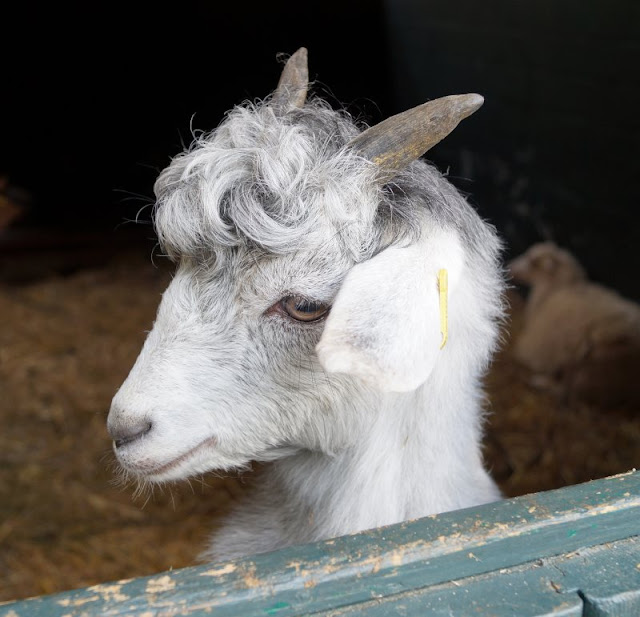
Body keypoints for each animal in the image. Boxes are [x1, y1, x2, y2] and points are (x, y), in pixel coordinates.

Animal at [510, 242, 640, 410]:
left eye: (533, 262)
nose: (510, 267)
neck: (554, 291)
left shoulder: (548, 351)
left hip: (589, 367)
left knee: (568, 395)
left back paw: (539, 383)